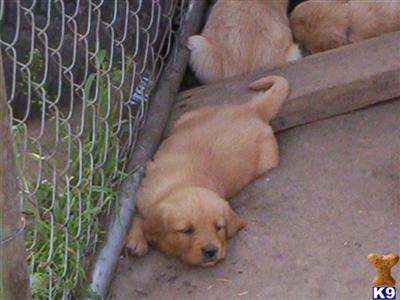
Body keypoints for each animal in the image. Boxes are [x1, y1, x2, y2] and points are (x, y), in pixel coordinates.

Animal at [126, 75, 290, 268]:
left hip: (267, 159)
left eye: (219, 227)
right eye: (186, 230)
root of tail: (252, 109)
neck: (180, 184)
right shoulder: (143, 194)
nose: (211, 251)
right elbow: (139, 216)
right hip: (186, 117)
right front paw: (137, 239)